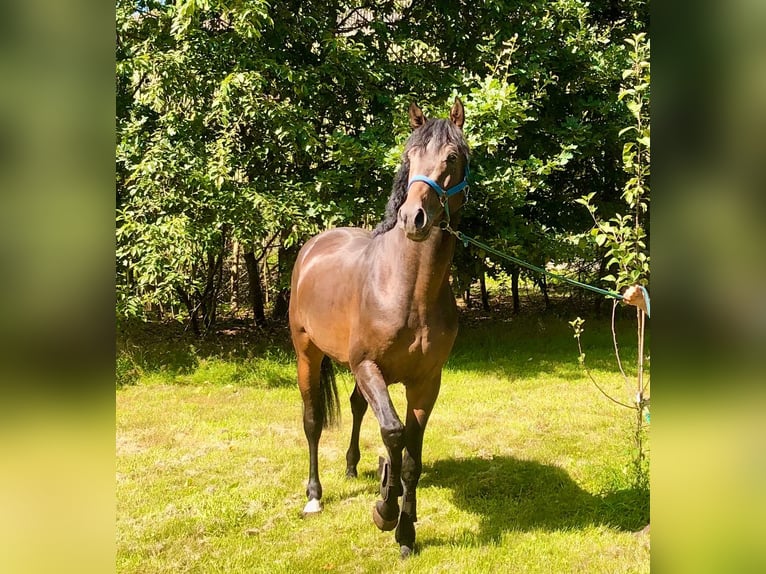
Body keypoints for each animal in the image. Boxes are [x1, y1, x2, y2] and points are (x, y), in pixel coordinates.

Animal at [288, 98, 468, 560]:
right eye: (408, 157)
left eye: (452, 158)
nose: (413, 218)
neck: (408, 289)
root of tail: (314, 246)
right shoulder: (368, 367)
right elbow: (393, 432)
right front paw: (385, 511)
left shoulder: (426, 382)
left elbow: (411, 456)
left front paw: (406, 532)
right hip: (306, 354)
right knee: (312, 420)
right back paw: (314, 495)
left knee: (355, 407)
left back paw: (354, 467)